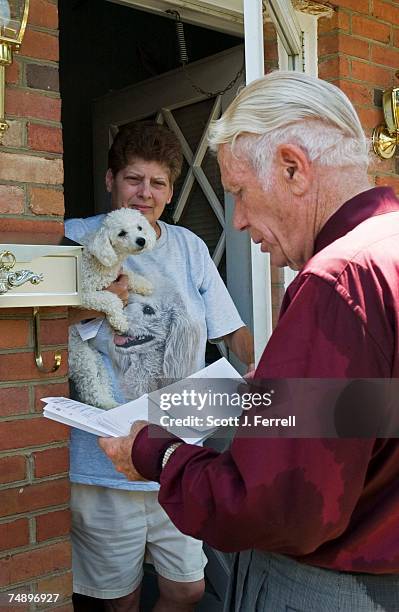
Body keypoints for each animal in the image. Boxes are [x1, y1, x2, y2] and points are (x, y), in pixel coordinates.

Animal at [69, 208, 156, 408]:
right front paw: (120, 322)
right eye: (121, 233)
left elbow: (129, 274)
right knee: (90, 388)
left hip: (92, 355)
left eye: (140, 228)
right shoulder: (84, 295)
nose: (142, 240)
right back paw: (106, 404)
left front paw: (144, 284)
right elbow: (111, 299)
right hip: (80, 355)